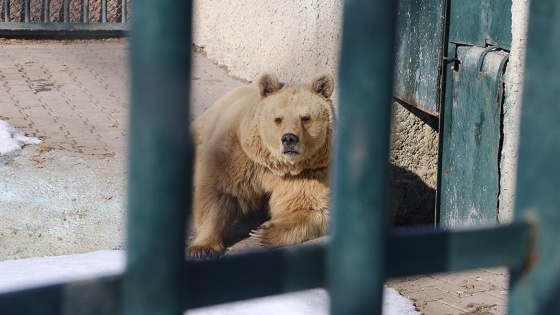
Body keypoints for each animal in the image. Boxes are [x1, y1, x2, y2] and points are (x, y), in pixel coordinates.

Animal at [188, 72, 334, 260]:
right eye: (278, 119)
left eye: (305, 118)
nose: (289, 139)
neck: (277, 164)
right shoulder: (241, 157)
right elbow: (218, 192)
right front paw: (202, 248)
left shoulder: (309, 173)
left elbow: (307, 207)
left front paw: (263, 231)